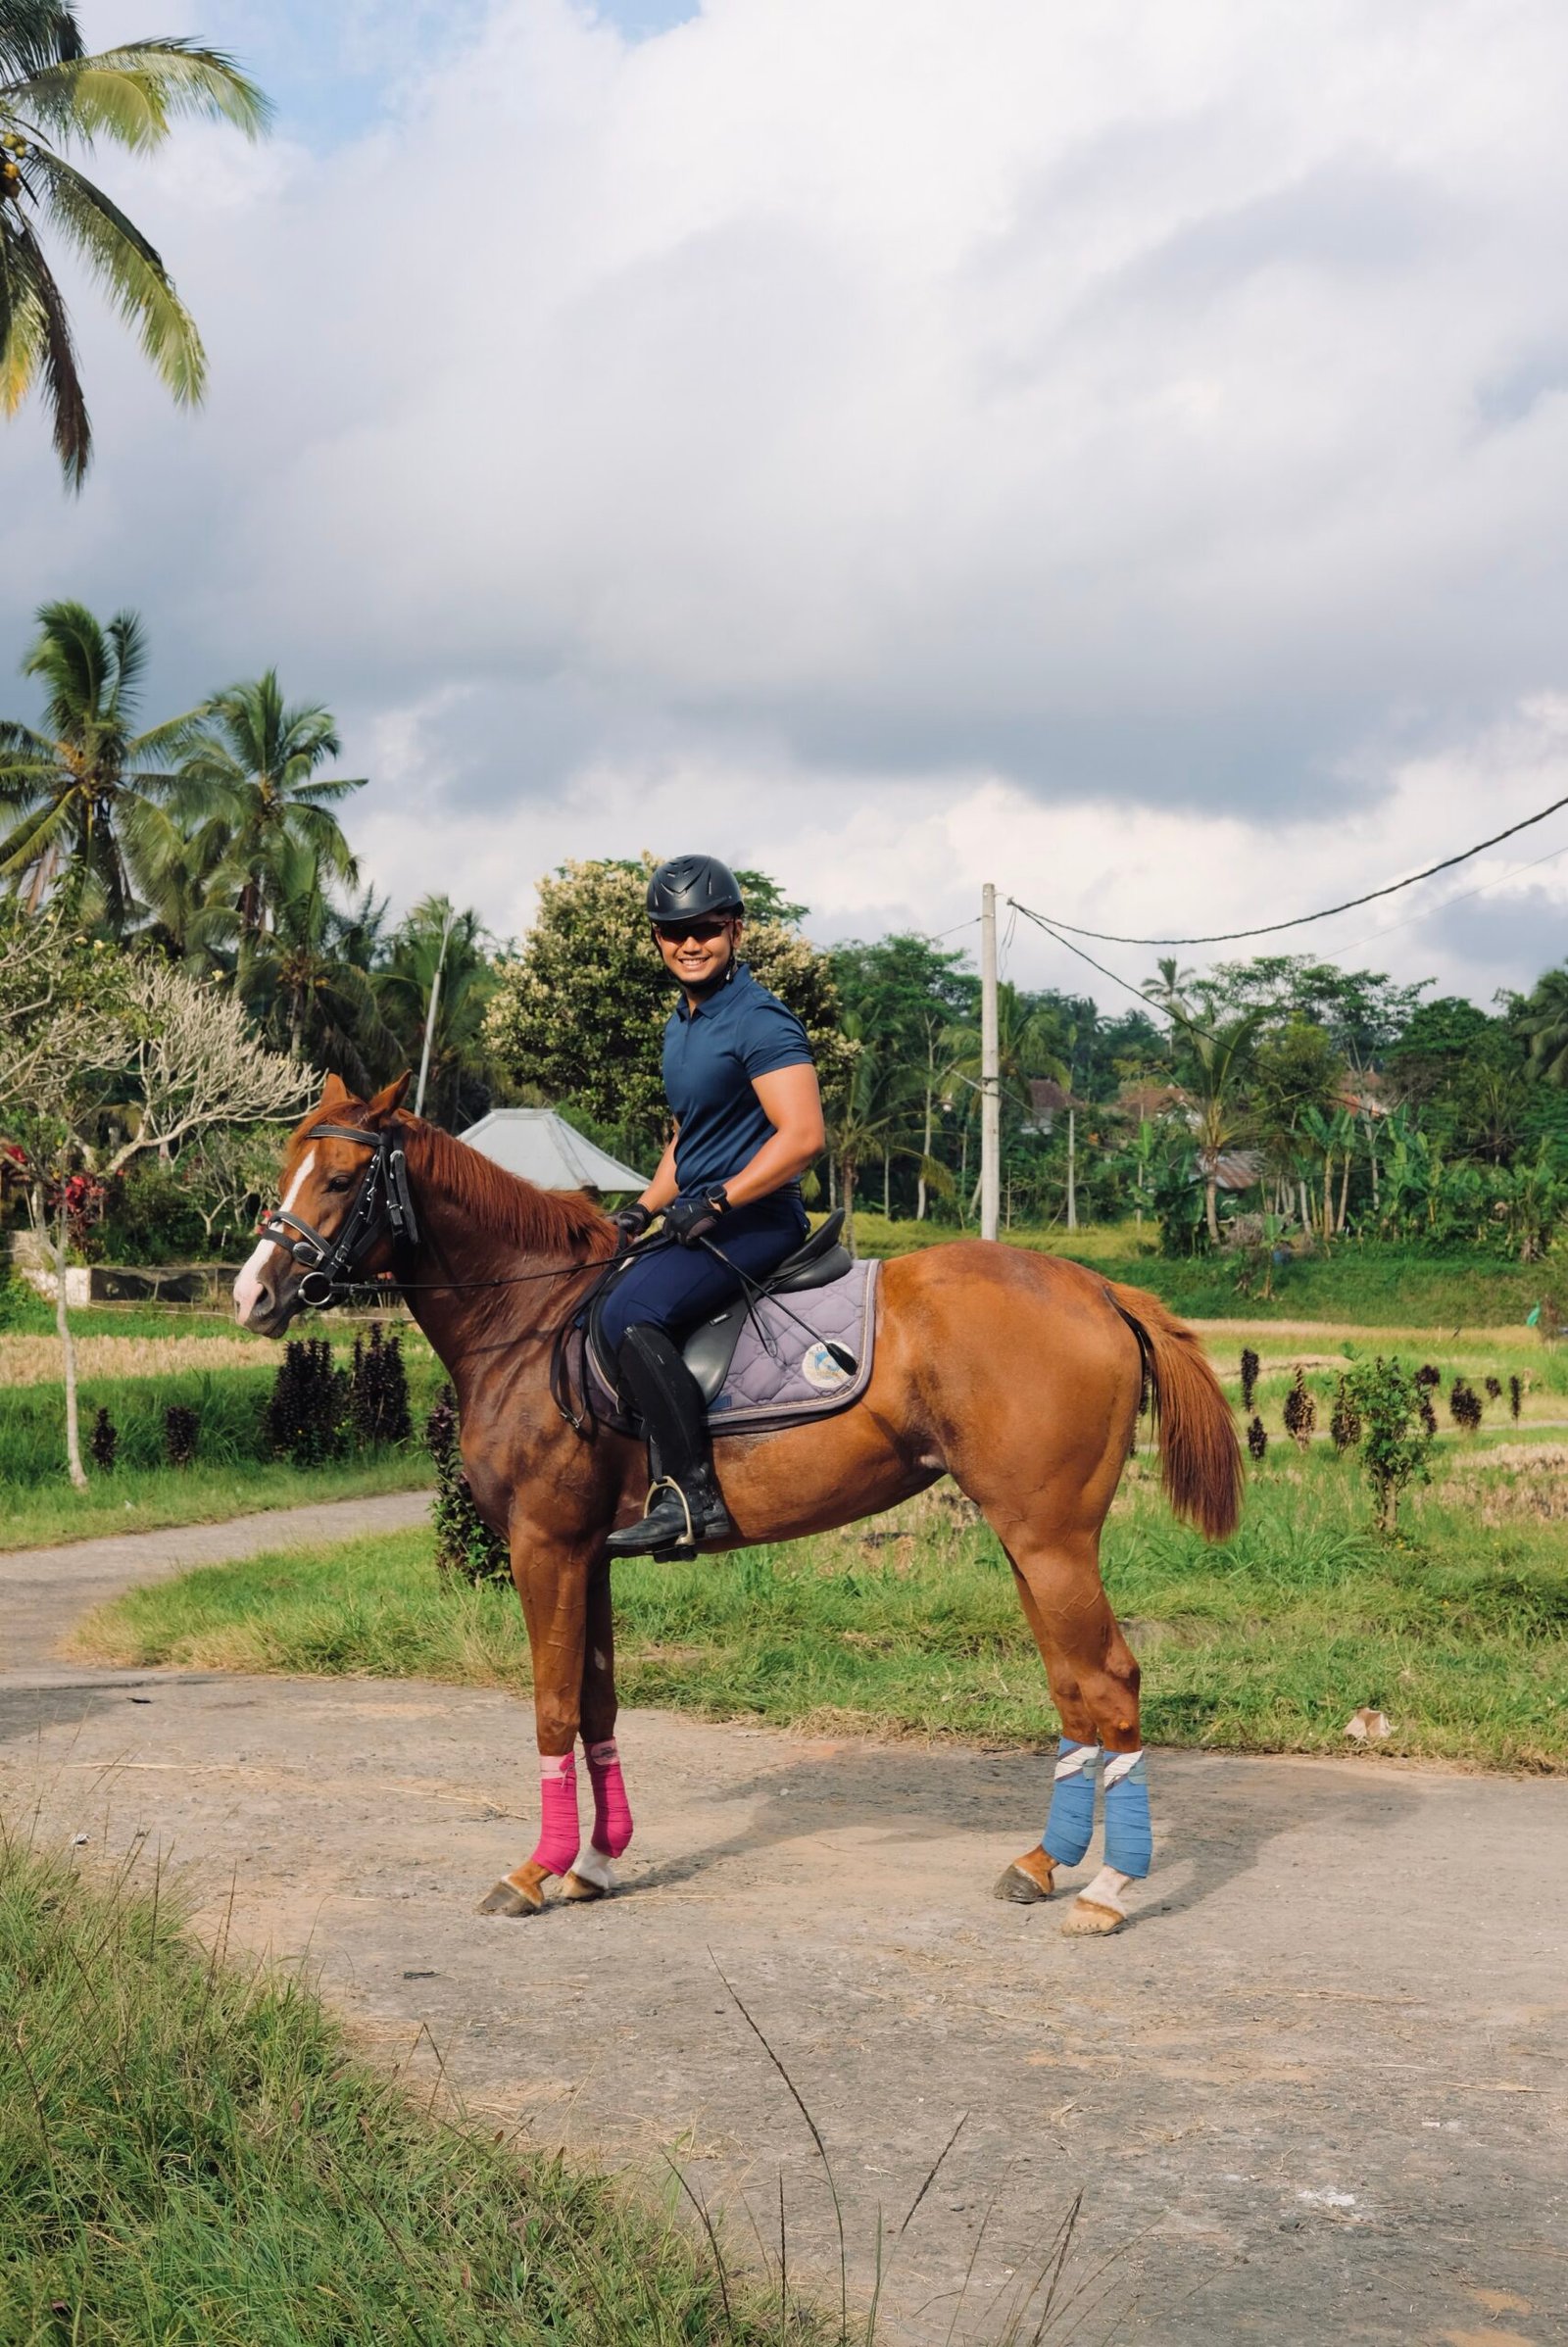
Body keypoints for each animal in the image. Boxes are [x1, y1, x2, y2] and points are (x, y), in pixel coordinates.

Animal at [235, 1074, 1239, 1933]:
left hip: (1050, 1539)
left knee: (1109, 1679)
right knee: (1072, 1683)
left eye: (340, 1179)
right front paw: (595, 1862)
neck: (531, 1319)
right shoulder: (588, 1552)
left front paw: (535, 1870)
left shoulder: (543, 1544)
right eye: (286, 1167)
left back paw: (1109, 1887)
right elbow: (597, 1702)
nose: (253, 1294)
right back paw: (1043, 1862)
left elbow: (552, 1706)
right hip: (1030, 1539)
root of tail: (1096, 1287)